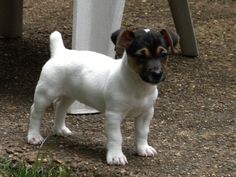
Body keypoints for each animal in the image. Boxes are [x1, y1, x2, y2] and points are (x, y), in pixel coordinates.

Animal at [27, 28, 179, 165]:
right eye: (141, 56)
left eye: (163, 54)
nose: (157, 74)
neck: (138, 86)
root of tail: (60, 52)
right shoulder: (114, 115)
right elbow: (116, 137)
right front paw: (116, 156)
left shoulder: (146, 113)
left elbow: (142, 132)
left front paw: (143, 149)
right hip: (45, 93)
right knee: (35, 112)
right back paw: (34, 136)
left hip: (70, 94)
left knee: (60, 106)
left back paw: (59, 129)